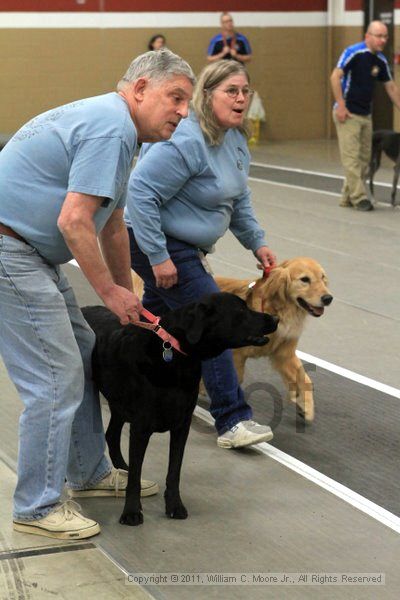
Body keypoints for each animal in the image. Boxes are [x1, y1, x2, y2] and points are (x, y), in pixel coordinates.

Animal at [82, 292, 278, 528]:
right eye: (240, 310)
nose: (275, 319)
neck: (174, 354)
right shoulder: (141, 427)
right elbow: (136, 477)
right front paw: (131, 512)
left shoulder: (182, 425)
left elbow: (174, 471)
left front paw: (175, 506)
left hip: (119, 403)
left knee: (112, 435)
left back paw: (122, 468)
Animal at [214, 258, 332, 422]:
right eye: (305, 279)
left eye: (322, 277)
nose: (328, 298)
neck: (280, 313)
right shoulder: (236, 354)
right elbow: (236, 378)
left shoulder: (284, 355)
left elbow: (305, 379)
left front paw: (306, 406)